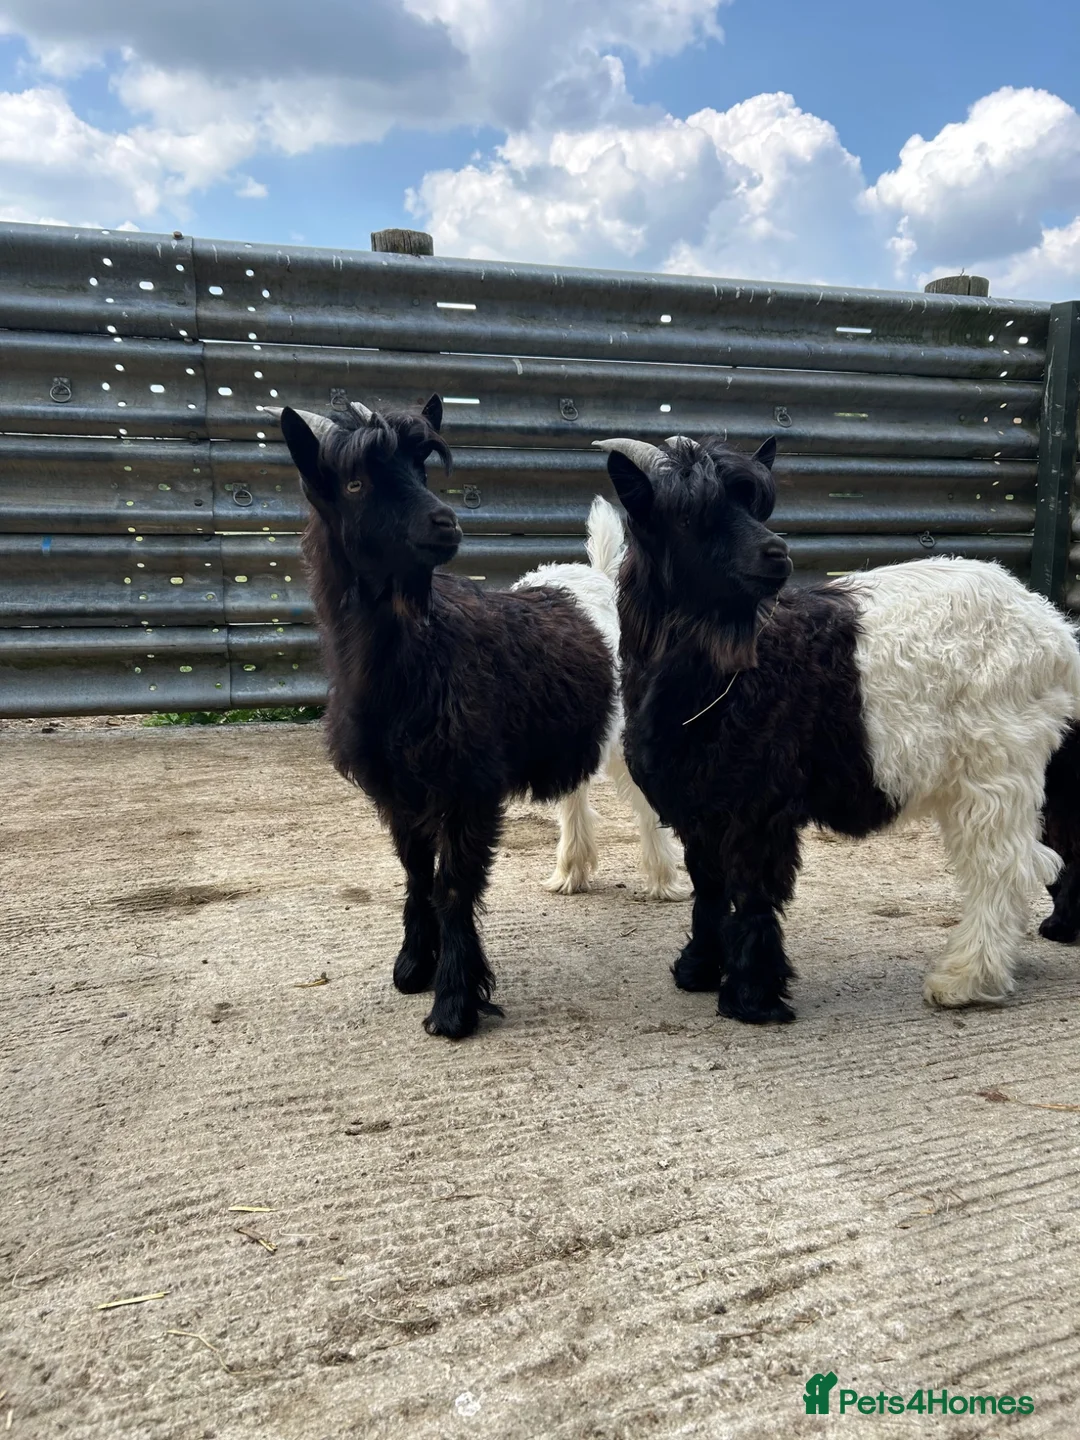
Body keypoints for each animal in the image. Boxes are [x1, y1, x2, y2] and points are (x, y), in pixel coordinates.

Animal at [269, 395, 670, 1039]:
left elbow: (454, 885)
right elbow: (415, 873)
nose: (445, 523)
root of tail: (596, 575)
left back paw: (663, 880)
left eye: (422, 469)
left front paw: (454, 1005)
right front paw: (413, 968)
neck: (422, 652)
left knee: (640, 793)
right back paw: (572, 871)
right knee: (576, 791)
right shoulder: (398, 789)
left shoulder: (468, 785)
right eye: (355, 483)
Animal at [597, 431, 1080, 1024]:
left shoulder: (759, 802)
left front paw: (752, 997)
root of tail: (1055, 630)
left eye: (756, 504)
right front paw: (699, 971)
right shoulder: (697, 802)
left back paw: (966, 978)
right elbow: (708, 886)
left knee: (1005, 867)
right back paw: (1039, 941)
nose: (777, 554)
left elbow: (751, 889)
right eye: (690, 515)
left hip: (998, 763)